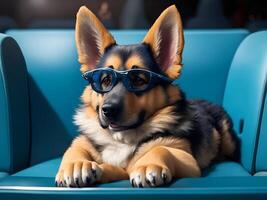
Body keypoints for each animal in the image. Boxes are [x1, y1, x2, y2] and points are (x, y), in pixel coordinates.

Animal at [55, 5, 238, 189]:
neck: (122, 138)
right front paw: (76, 165)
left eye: (138, 80)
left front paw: (148, 165)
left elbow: (160, 149)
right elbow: (75, 149)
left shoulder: (187, 159)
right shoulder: (83, 143)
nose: (108, 110)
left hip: (228, 140)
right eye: (106, 80)